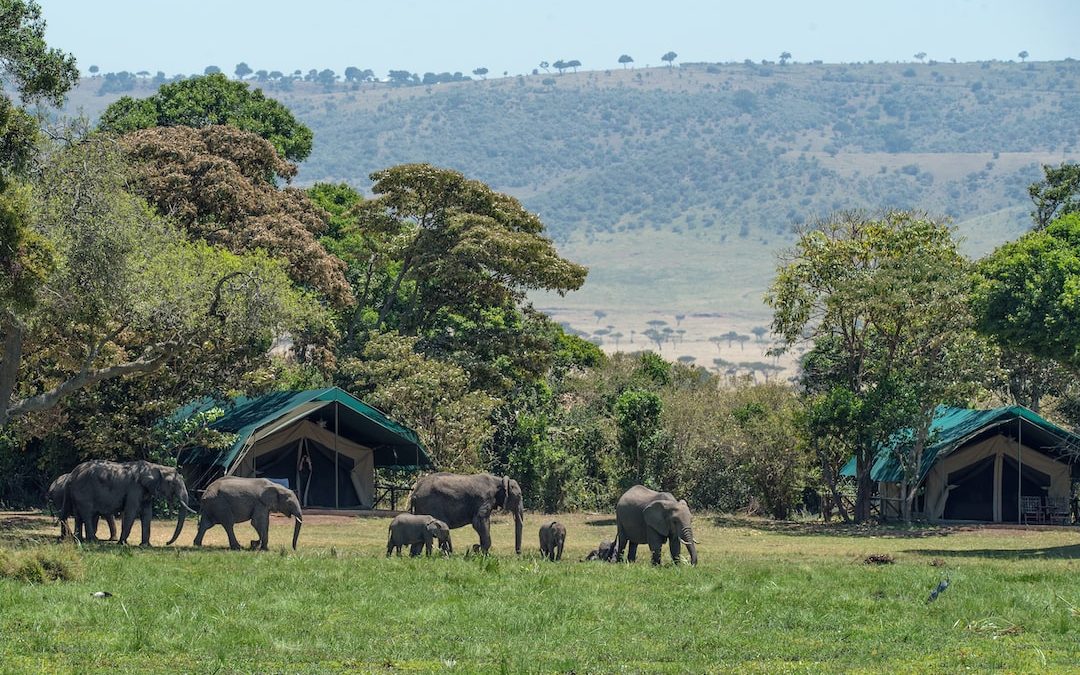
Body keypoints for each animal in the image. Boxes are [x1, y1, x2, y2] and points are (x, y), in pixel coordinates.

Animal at [64, 457, 193, 548]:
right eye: (171, 483)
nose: (166, 543)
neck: (155, 467)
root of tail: (72, 475)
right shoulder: (135, 488)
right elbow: (131, 512)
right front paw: (123, 544)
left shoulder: (146, 490)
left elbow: (147, 514)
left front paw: (145, 545)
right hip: (83, 492)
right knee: (87, 514)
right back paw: (93, 541)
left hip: (76, 494)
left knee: (78, 517)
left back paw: (79, 540)